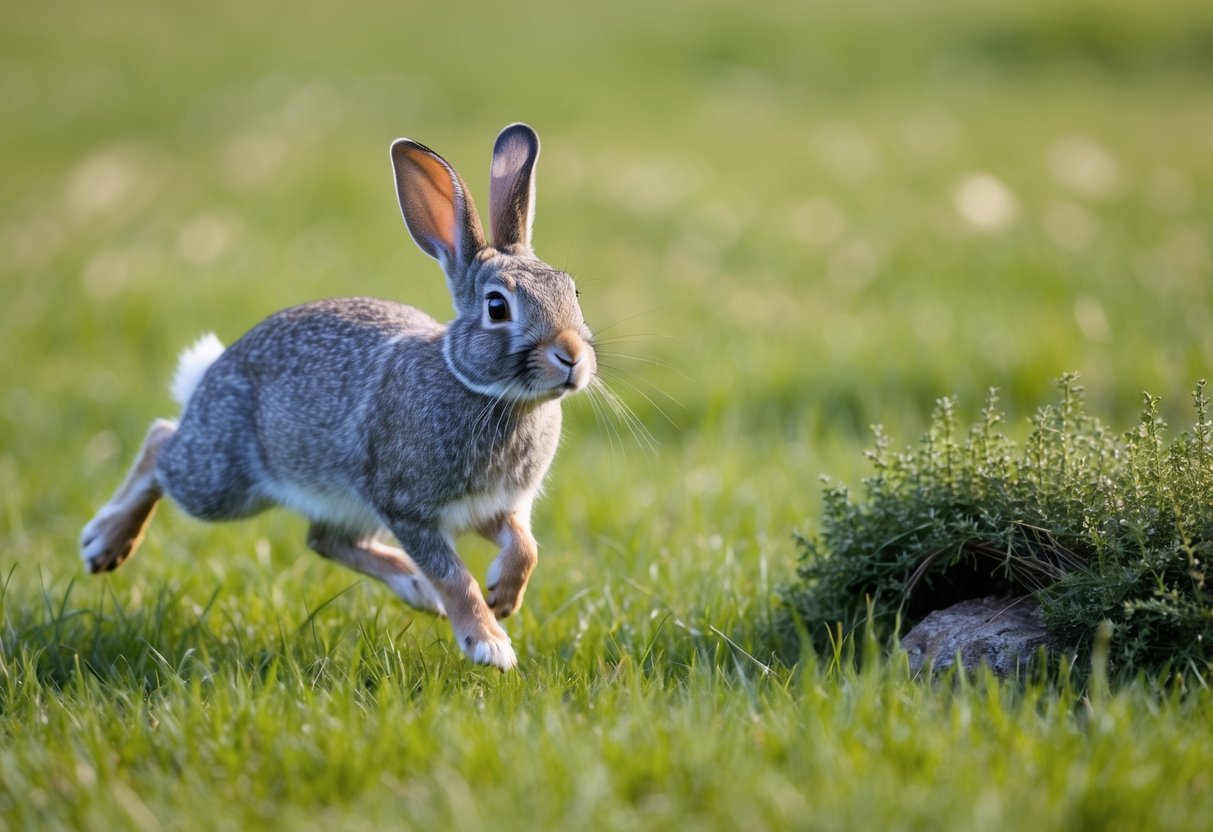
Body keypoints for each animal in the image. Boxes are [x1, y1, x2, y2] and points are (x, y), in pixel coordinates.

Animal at [79, 123, 596, 670]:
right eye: (497, 307)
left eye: (573, 293)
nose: (571, 356)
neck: (483, 390)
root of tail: (210, 376)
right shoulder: (406, 507)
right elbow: (455, 576)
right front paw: (489, 642)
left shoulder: (496, 509)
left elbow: (525, 546)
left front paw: (504, 596)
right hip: (224, 484)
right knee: (162, 446)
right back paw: (102, 544)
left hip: (339, 502)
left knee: (324, 540)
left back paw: (416, 589)